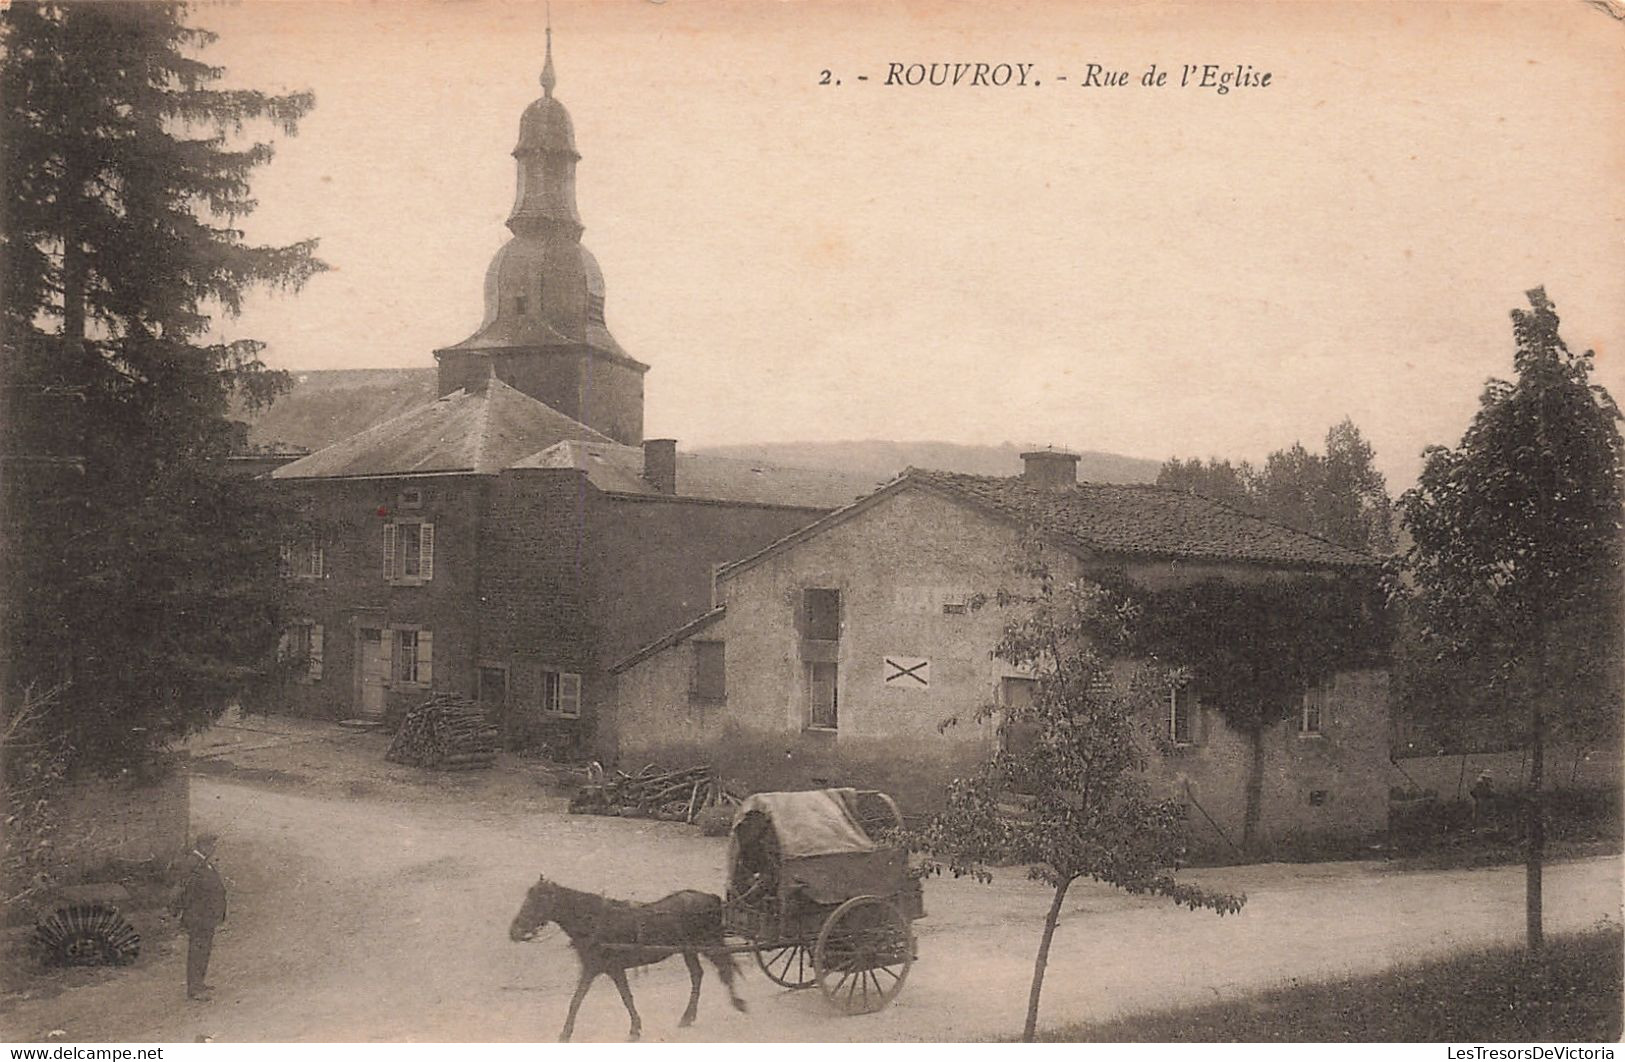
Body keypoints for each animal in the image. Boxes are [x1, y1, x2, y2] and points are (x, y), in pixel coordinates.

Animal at [507, 876, 747, 1045]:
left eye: (537, 901)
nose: (514, 932)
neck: (595, 922)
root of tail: (711, 898)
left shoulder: (612, 968)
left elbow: (623, 997)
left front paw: (634, 1029)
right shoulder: (592, 968)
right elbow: (578, 999)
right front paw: (566, 1033)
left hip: (709, 943)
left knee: (725, 969)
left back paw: (738, 1002)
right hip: (689, 950)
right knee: (698, 975)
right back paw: (688, 1017)